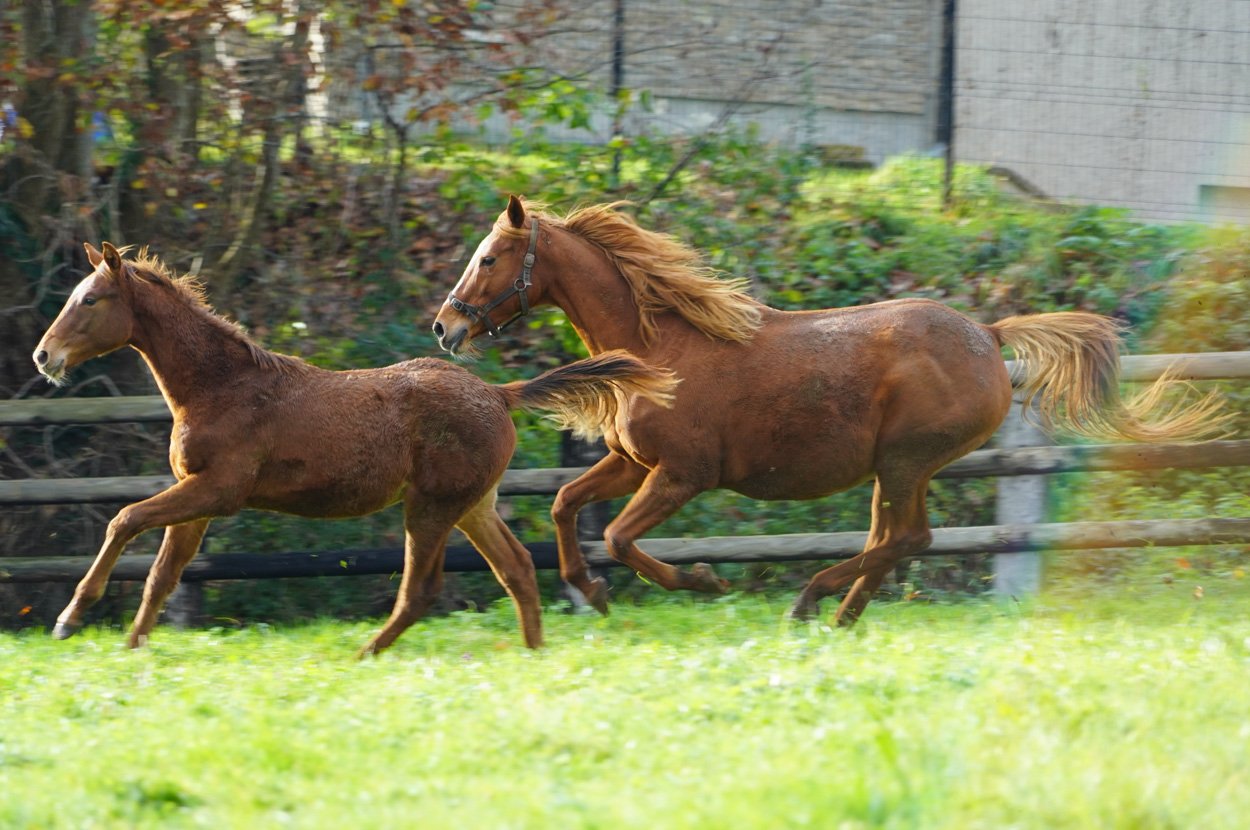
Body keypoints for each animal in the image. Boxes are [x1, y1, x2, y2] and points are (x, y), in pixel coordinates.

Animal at [32, 241, 676, 656]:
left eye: (89, 300)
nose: (44, 356)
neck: (221, 387)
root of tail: (498, 392)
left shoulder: (217, 491)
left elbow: (123, 519)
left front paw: (69, 619)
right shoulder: (198, 498)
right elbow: (163, 574)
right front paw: (132, 645)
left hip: (431, 506)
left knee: (421, 589)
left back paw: (367, 651)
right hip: (473, 504)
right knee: (516, 569)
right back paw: (533, 653)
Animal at [431, 196, 1228, 624]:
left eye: (490, 258)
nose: (445, 328)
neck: (662, 346)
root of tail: (989, 334)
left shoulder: (682, 474)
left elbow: (623, 538)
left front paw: (702, 581)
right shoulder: (632, 463)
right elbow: (567, 506)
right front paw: (591, 592)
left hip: (907, 460)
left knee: (910, 539)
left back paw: (811, 598)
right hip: (897, 468)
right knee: (897, 539)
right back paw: (839, 614)